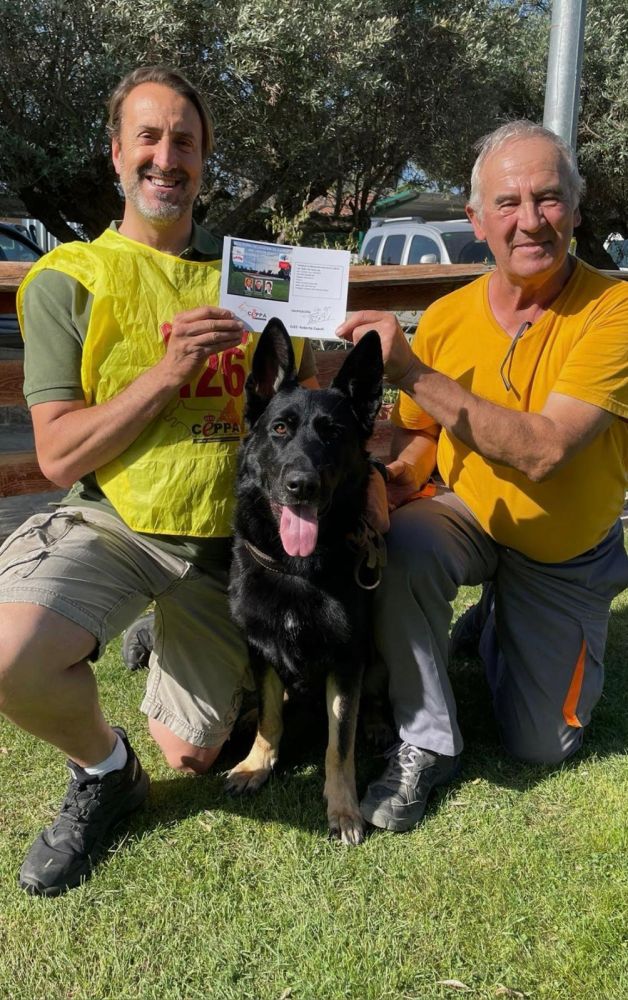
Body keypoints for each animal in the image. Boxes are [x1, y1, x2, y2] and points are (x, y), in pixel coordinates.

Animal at [226, 318, 384, 845]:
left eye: (332, 434)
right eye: (280, 429)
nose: (302, 485)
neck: (297, 570)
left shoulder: (347, 659)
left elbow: (339, 744)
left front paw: (343, 808)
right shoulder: (259, 647)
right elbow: (271, 716)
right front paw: (257, 763)